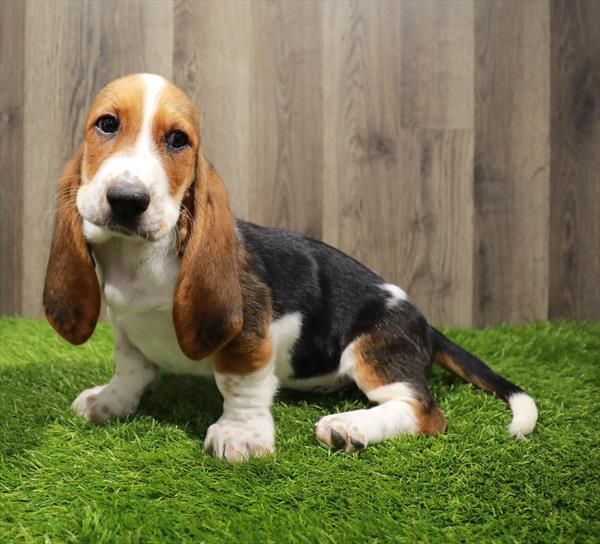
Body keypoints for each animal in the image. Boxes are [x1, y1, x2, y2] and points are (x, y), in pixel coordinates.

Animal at [43, 74, 540, 462]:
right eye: (106, 124)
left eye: (178, 140)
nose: (127, 200)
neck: (139, 259)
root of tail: (425, 324)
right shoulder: (127, 326)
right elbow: (131, 368)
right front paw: (109, 401)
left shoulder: (247, 336)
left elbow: (240, 382)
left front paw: (240, 436)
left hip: (371, 352)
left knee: (424, 411)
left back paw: (350, 427)